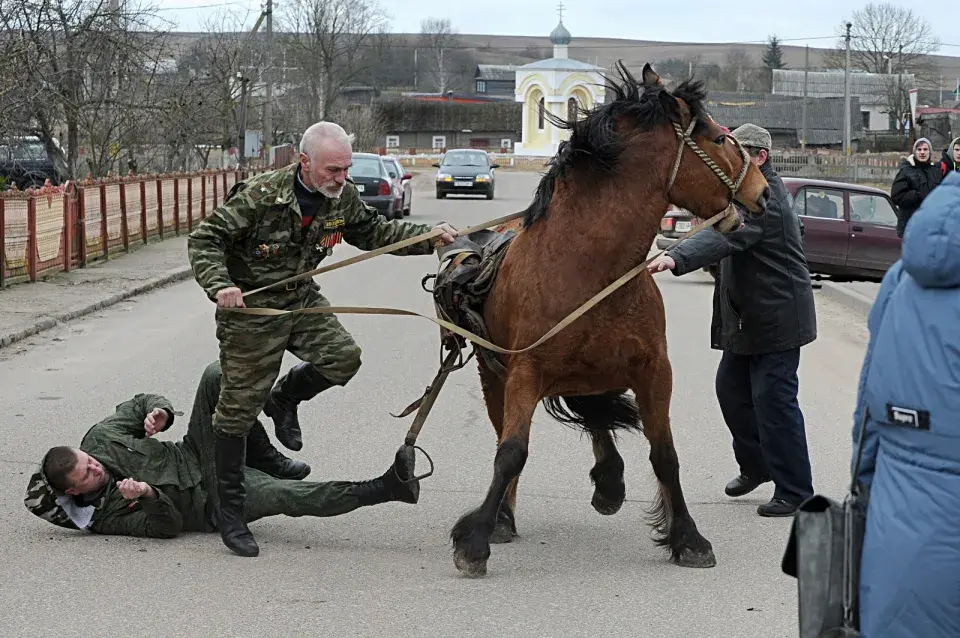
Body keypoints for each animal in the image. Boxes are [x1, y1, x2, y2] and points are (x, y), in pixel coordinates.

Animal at [450, 63, 772, 580]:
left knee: (596, 415)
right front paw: (476, 539)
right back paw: (505, 517)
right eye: (718, 137)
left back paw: (609, 481)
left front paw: (687, 538)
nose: (761, 192)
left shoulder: (654, 372)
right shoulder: (525, 372)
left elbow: (664, 454)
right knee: (514, 433)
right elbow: (511, 452)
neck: (587, 267)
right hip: (494, 375)